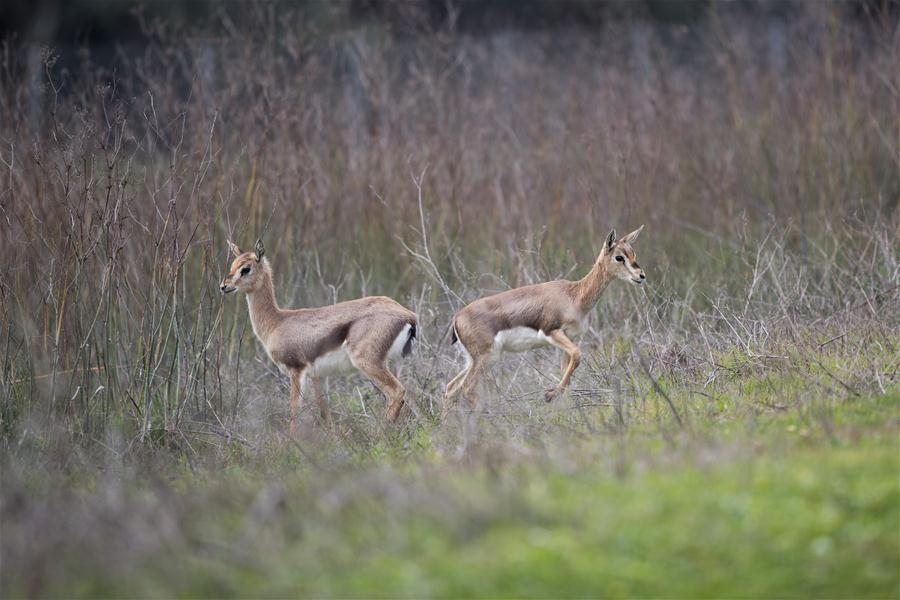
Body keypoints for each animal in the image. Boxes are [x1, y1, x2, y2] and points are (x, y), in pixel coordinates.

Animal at [220, 239, 418, 434]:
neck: (277, 322)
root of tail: (408, 315)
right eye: (232, 265)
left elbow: (294, 413)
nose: (223, 286)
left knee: (397, 392)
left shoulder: (296, 371)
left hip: (367, 362)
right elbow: (326, 415)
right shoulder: (319, 377)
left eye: (246, 268)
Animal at [443, 226, 645, 416]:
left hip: (474, 360)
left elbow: (570, 371)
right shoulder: (552, 332)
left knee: (450, 388)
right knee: (466, 388)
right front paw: (548, 395)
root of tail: (457, 317)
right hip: (486, 357)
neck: (574, 295)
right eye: (619, 257)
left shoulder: (568, 339)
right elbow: (578, 355)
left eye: (633, 253)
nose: (640, 276)